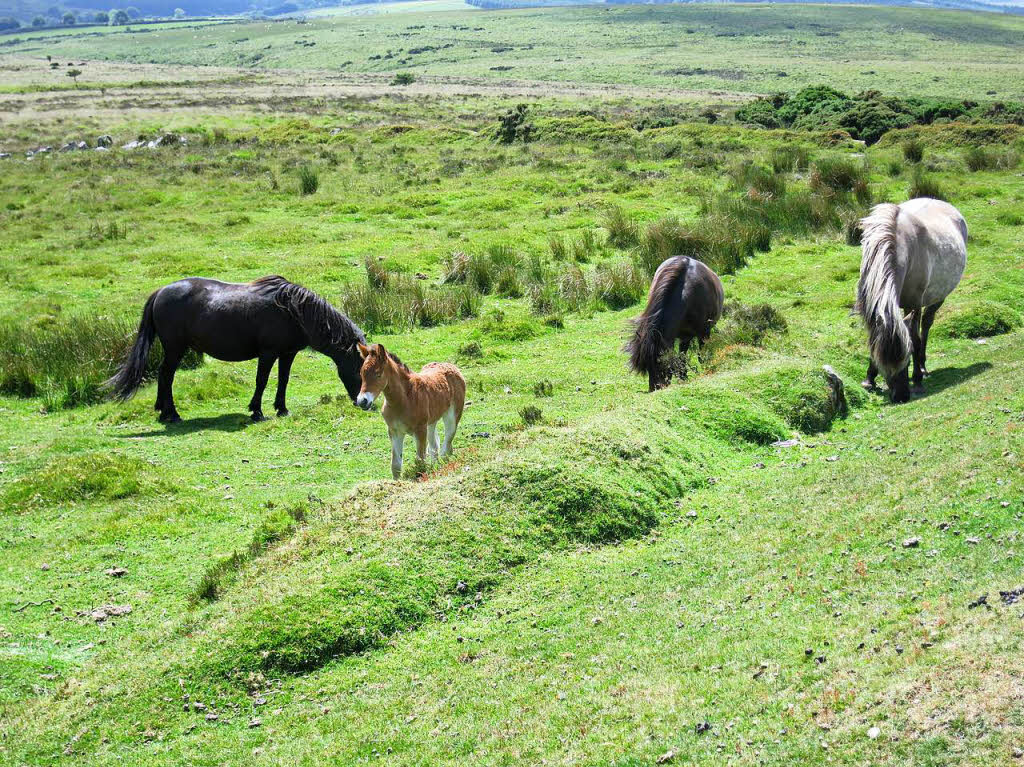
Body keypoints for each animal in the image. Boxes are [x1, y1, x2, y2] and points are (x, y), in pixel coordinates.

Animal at [103, 274, 366, 421]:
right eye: (360, 370)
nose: (361, 402)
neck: (293, 311)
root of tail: (160, 292)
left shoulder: (287, 354)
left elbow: (283, 381)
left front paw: (282, 409)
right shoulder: (268, 353)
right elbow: (262, 380)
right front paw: (257, 411)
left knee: (162, 375)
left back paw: (162, 410)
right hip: (175, 349)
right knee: (167, 375)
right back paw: (172, 414)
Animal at [352, 342, 464, 479]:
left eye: (378, 374)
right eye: (362, 374)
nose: (362, 401)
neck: (403, 400)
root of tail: (451, 366)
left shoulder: (420, 430)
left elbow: (420, 461)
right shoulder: (394, 431)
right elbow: (395, 465)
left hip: (452, 416)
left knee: (447, 442)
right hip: (431, 422)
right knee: (434, 447)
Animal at [626, 256, 724, 391]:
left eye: (660, 362)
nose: (655, 389)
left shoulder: (703, 333)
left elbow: (702, 357)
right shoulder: (676, 339)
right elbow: (681, 360)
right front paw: (683, 378)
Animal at [856, 197, 966, 401]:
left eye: (906, 360)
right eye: (884, 364)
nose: (901, 396)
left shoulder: (914, 304)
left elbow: (914, 339)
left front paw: (917, 381)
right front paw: (869, 379)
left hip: (938, 296)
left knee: (926, 324)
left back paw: (922, 366)